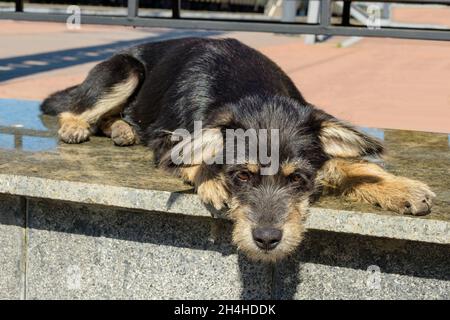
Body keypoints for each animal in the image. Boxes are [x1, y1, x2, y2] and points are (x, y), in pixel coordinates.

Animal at [40, 37, 434, 262]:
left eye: (297, 180)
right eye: (241, 176)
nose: (267, 239)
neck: (250, 87)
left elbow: (349, 163)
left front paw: (399, 187)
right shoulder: (166, 139)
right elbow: (194, 153)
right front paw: (212, 178)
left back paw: (121, 129)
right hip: (124, 70)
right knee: (73, 108)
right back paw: (78, 126)